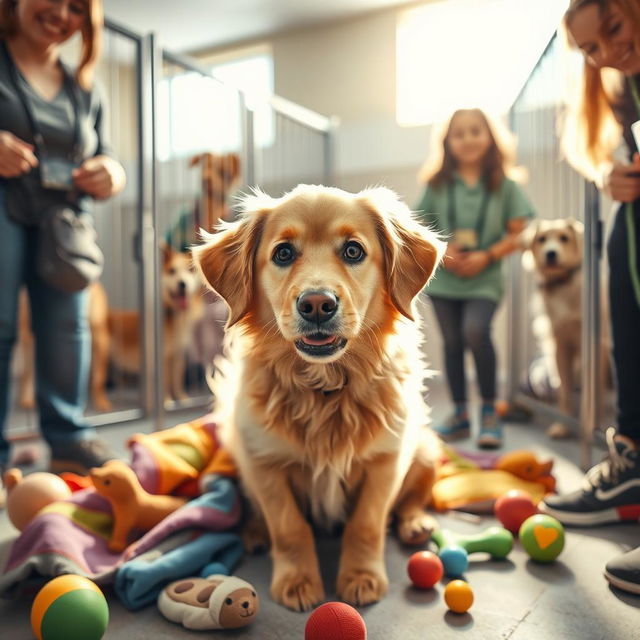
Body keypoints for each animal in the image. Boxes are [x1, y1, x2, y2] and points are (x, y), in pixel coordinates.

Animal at [194, 184, 444, 608]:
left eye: (353, 251)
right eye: (283, 253)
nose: (316, 305)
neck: (325, 388)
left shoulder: (386, 461)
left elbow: (366, 524)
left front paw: (361, 577)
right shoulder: (265, 464)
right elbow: (289, 527)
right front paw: (298, 581)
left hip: (425, 446)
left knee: (414, 497)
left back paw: (415, 523)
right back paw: (254, 532)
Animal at [524, 218, 608, 438]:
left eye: (564, 238)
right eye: (542, 239)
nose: (551, 253)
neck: (564, 285)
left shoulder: (595, 348)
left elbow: (594, 394)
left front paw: (594, 424)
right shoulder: (559, 345)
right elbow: (565, 391)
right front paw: (563, 425)